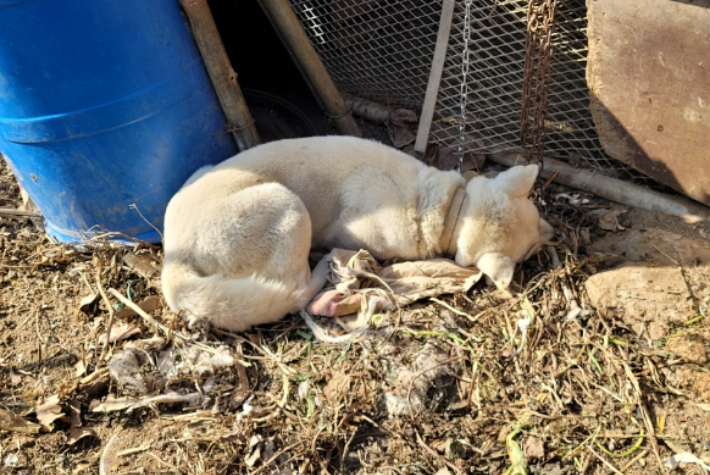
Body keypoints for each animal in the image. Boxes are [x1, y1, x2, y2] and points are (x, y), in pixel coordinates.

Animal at [161, 136, 556, 332]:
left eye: (538, 217)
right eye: (530, 250)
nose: (554, 234)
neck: (449, 209)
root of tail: (172, 262)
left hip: (202, 173)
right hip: (288, 208)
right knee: (295, 290)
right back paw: (323, 274)